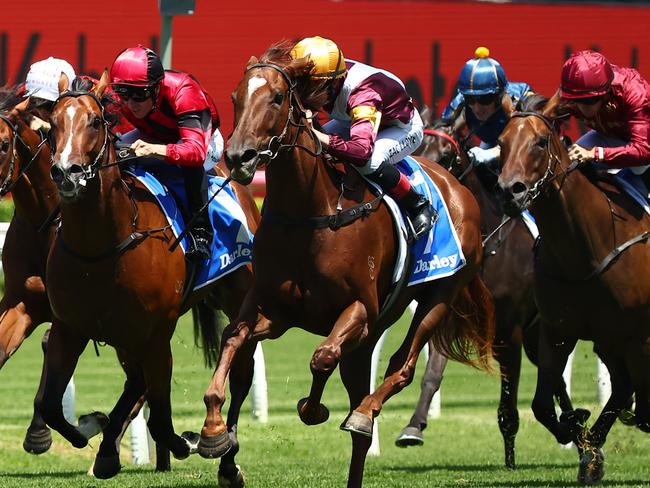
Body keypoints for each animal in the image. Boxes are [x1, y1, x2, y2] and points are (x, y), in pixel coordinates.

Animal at [38, 69, 258, 484]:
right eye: (53, 123)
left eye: (95, 121)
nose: (66, 173)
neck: (101, 247)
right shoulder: (69, 327)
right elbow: (50, 405)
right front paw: (88, 430)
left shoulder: (155, 334)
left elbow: (159, 414)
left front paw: (187, 442)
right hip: (125, 335)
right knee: (135, 382)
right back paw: (107, 449)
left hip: (239, 298)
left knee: (241, 371)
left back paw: (224, 452)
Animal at [200, 43, 494, 488]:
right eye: (235, 98)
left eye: (277, 97)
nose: (238, 156)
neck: (310, 212)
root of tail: (459, 188)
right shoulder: (273, 308)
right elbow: (234, 340)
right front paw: (215, 432)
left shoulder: (358, 309)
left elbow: (321, 356)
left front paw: (312, 408)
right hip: (370, 336)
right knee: (362, 403)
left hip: (438, 295)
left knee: (401, 367)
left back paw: (363, 412)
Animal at [394, 108, 572, 468]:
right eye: (414, 152)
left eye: (446, 156)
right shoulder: (446, 315)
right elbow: (431, 374)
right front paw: (413, 427)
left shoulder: (508, 331)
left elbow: (509, 398)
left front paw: (511, 456)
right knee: (553, 372)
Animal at [496, 93, 648, 482]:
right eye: (501, 142)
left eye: (539, 141)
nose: (509, 192)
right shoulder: (557, 331)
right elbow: (541, 406)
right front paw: (581, 438)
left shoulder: (639, 335)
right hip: (608, 339)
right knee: (622, 386)